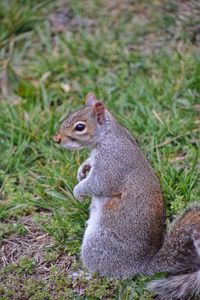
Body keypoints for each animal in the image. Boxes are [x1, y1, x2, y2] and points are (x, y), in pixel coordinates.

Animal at [53, 92, 200, 298]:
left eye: (80, 127)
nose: (56, 138)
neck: (107, 136)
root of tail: (139, 266)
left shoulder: (112, 163)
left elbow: (98, 183)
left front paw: (78, 191)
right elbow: (89, 166)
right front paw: (82, 170)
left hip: (97, 244)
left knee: (104, 273)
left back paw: (84, 276)